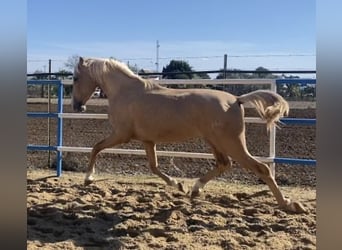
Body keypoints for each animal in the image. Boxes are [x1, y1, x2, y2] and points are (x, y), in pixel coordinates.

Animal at [71, 57, 304, 213]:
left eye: (75, 78)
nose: (77, 106)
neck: (126, 92)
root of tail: (237, 100)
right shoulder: (148, 140)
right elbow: (154, 167)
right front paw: (179, 185)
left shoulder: (121, 135)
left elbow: (96, 147)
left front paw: (88, 177)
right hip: (215, 141)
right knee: (223, 164)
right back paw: (195, 189)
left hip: (231, 143)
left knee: (261, 168)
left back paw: (289, 204)